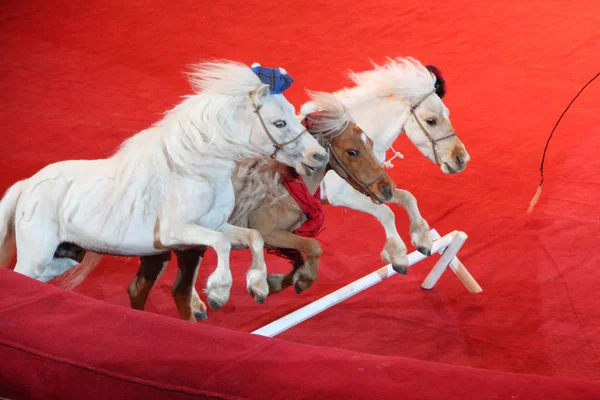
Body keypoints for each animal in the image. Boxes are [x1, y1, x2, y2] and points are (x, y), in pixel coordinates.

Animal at [0, 59, 328, 310]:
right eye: (279, 123)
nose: (318, 155)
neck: (194, 171)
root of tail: (27, 185)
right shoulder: (177, 231)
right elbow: (222, 245)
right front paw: (219, 292)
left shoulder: (219, 225)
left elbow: (253, 237)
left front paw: (257, 286)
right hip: (36, 256)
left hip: (62, 256)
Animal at [312, 56, 472, 268]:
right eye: (431, 121)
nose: (461, 158)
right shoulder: (340, 196)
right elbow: (386, 212)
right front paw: (397, 254)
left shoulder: (377, 187)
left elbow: (407, 197)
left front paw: (422, 239)